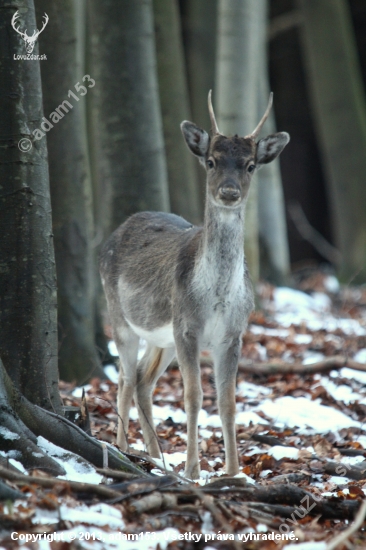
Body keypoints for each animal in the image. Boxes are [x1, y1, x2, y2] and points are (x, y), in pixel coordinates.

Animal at [100, 90, 288, 478]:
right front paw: (192, 471)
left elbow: (228, 401)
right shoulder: (186, 327)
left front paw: (233, 472)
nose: (229, 192)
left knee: (141, 380)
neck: (216, 296)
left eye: (250, 165)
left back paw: (155, 455)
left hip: (163, 338)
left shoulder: (232, 334)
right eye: (212, 161)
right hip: (120, 317)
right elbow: (193, 396)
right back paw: (123, 448)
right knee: (124, 379)